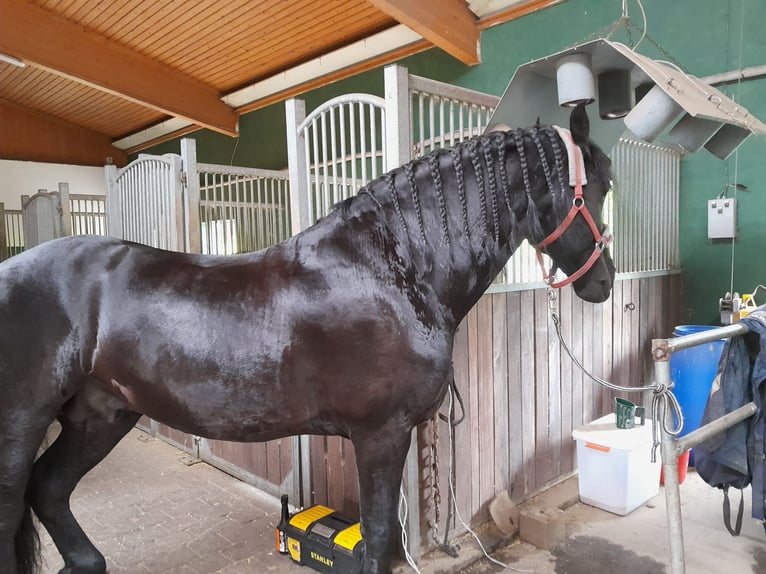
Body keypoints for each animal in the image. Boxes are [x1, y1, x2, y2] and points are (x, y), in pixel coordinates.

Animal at [0, 104, 612, 574]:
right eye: (598, 188)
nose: (603, 282)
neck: (393, 271)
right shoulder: (379, 434)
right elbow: (379, 536)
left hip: (101, 415)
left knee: (48, 489)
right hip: (24, 424)